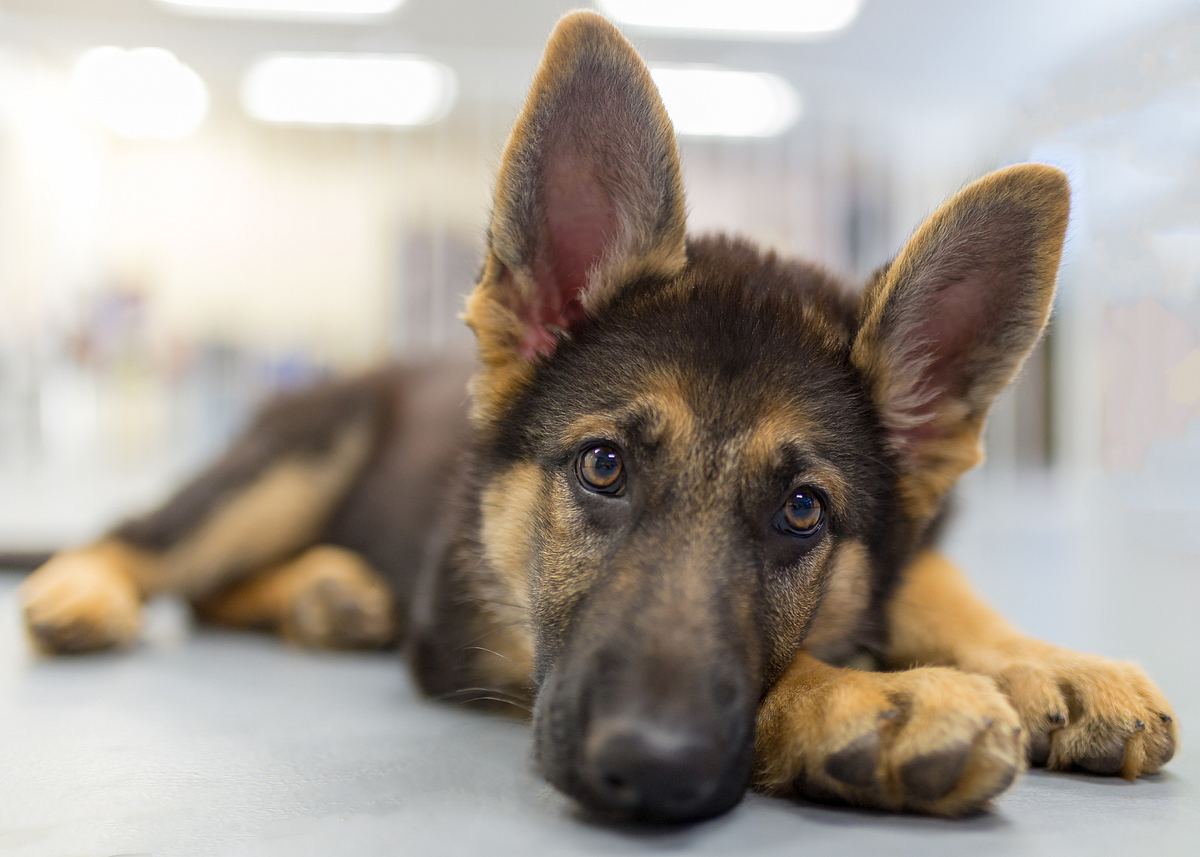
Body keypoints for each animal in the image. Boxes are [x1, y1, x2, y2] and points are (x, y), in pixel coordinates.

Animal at [18, 8, 1176, 820]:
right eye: (603, 465)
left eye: (803, 510)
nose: (651, 765)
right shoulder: (485, 633)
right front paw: (867, 699)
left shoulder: (903, 542)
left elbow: (937, 586)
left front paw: (1049, 663)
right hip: (296, 460)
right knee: (154, 544)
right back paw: (86, 587)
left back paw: (327, 594)